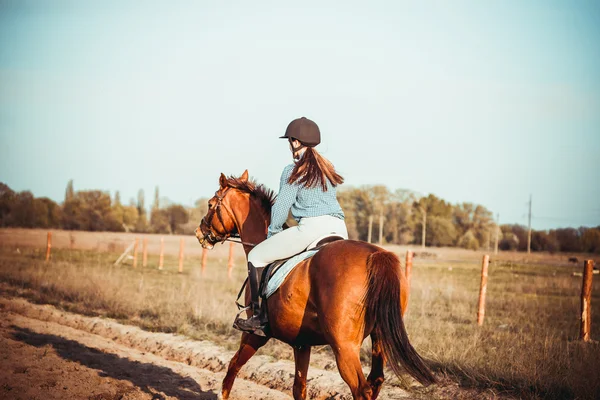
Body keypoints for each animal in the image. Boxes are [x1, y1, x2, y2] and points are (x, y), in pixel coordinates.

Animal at [197, 170, 436, 398]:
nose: (200, 232)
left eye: (210, 204)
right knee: (375, 381)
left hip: (344, 347)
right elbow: (299, 388)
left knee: (361, 389)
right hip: (380, 340)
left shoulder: (255, 335)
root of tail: (376, 255)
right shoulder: (302, 343)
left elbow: (233, 366)